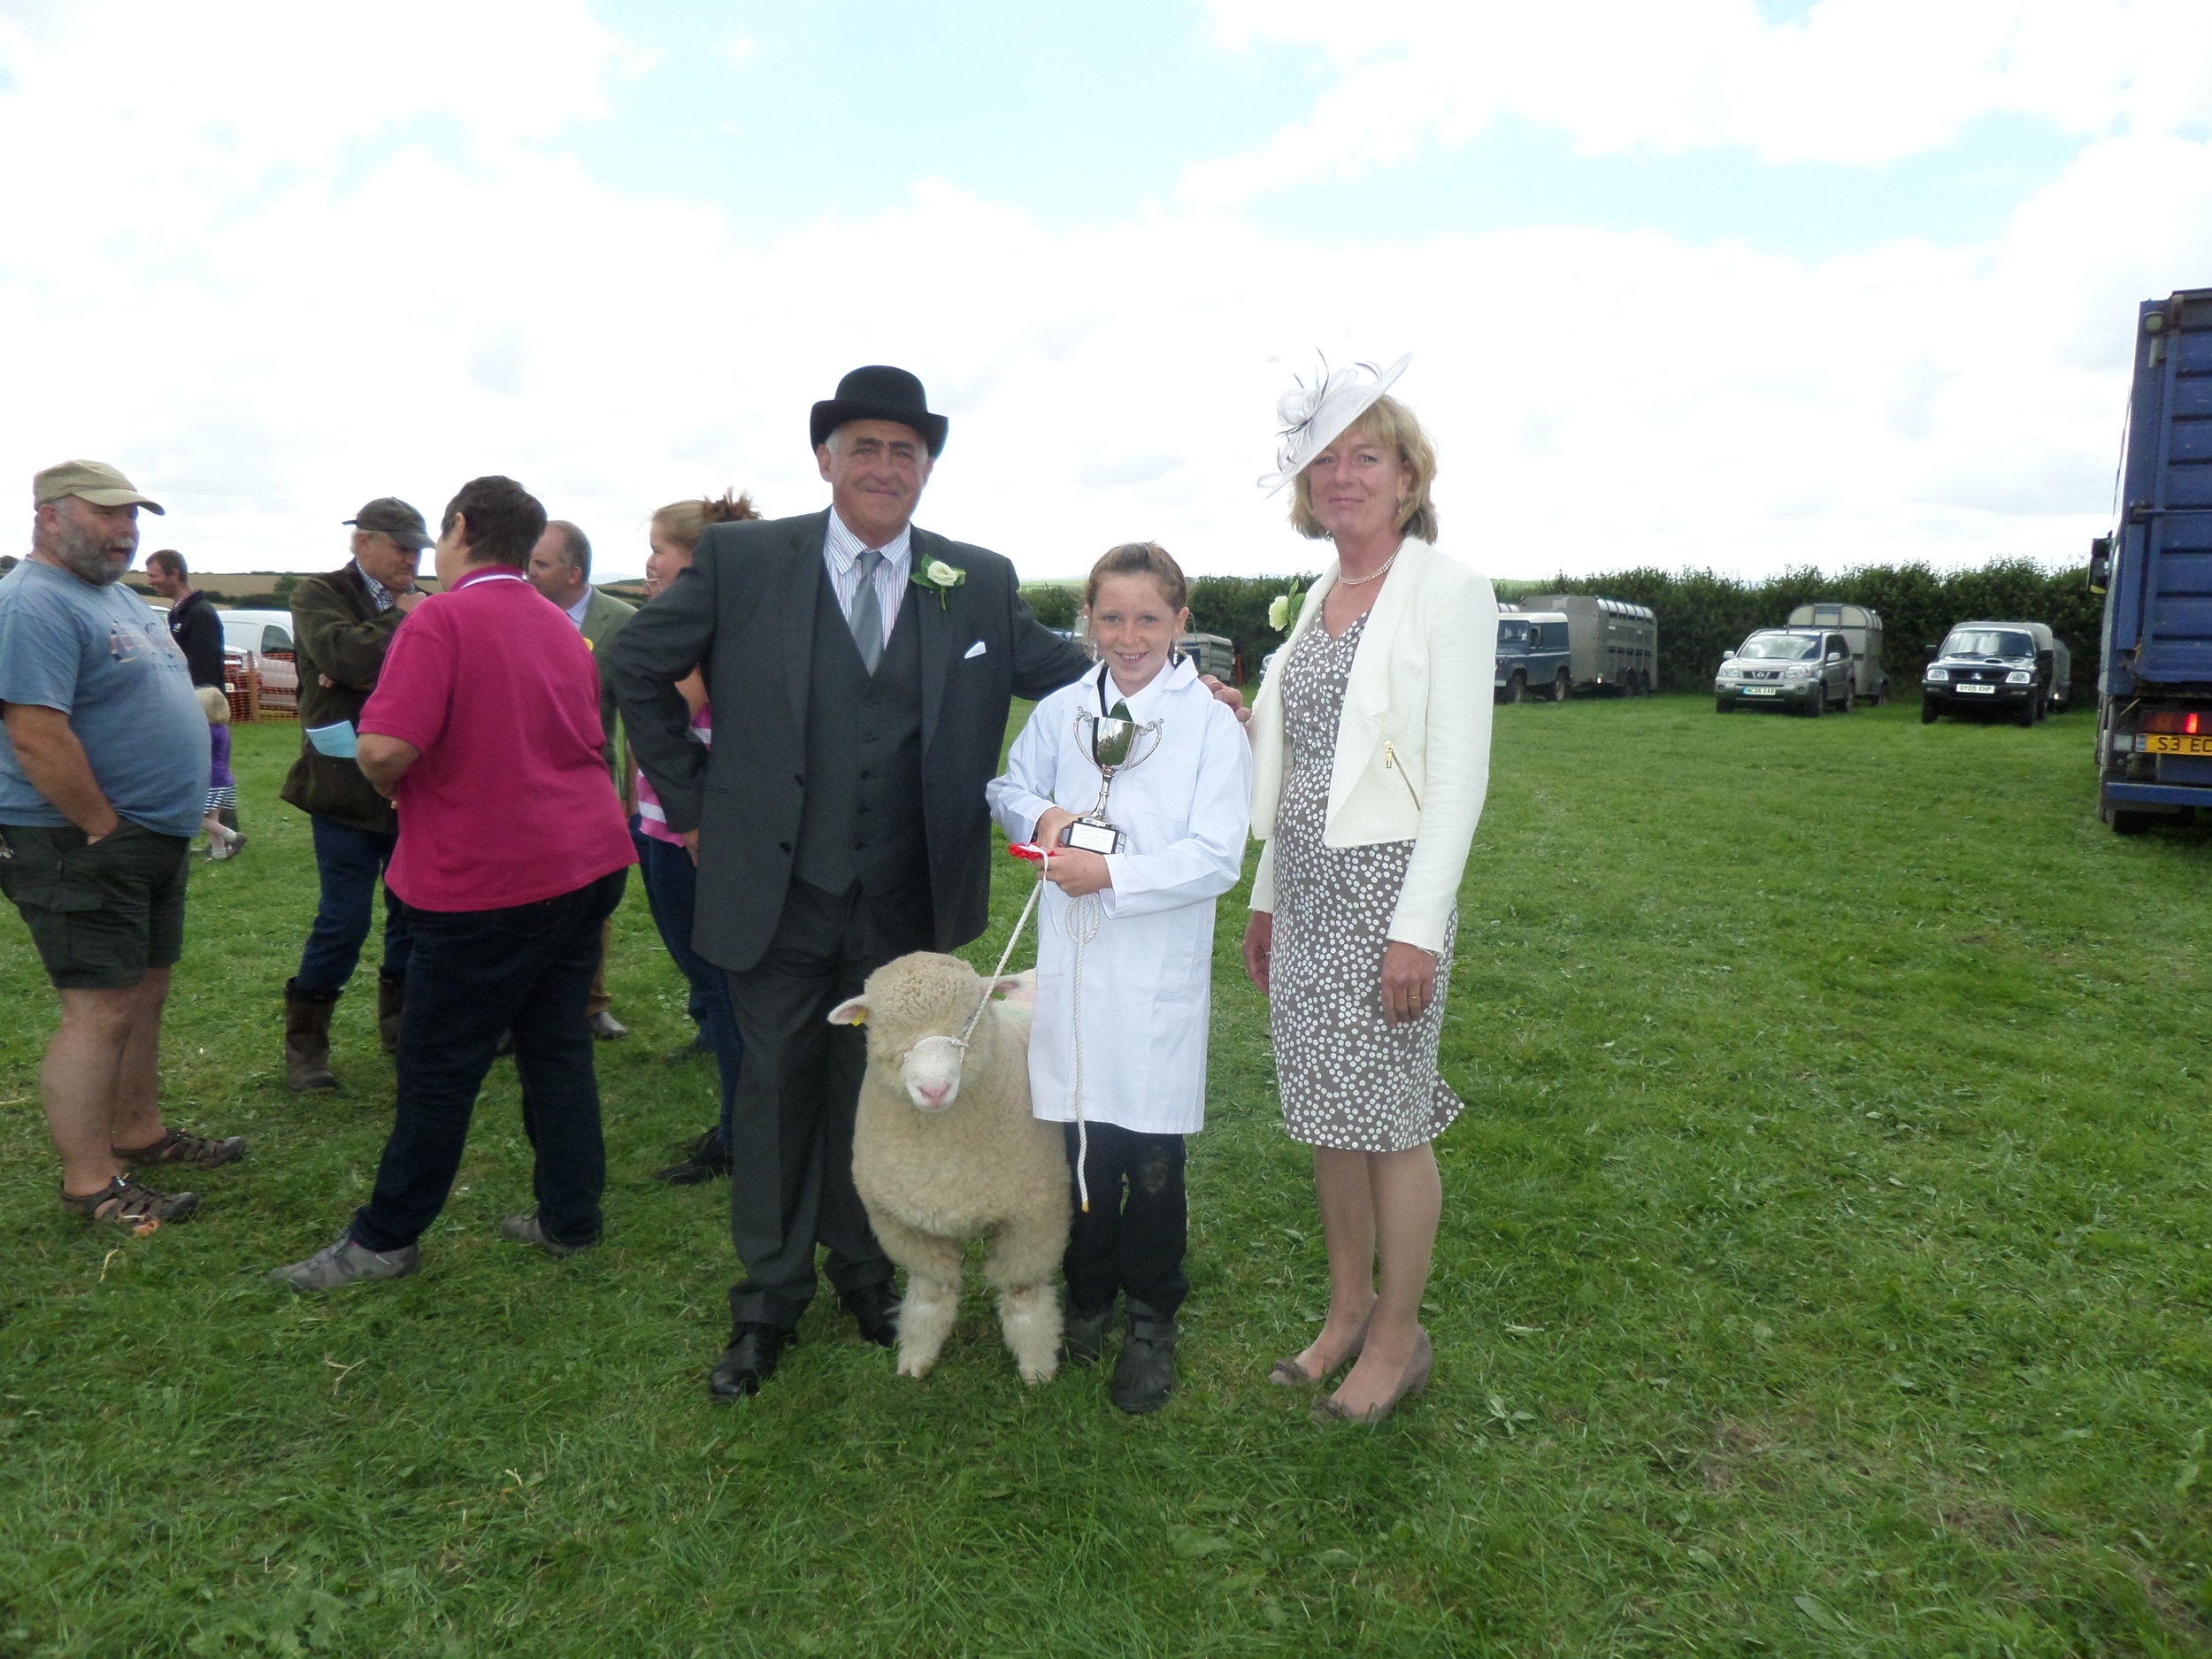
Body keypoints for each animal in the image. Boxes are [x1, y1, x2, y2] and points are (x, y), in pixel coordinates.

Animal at [832, 956, 1071, 1380]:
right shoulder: (903, 1224)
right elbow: (931, 1291)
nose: (934, 1090)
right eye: (884, 1026)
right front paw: (917, 1356)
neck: (943, 1162)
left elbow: (1022, 1293)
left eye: (970, 1018)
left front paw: (1036, 1366)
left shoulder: (1035, 1216)